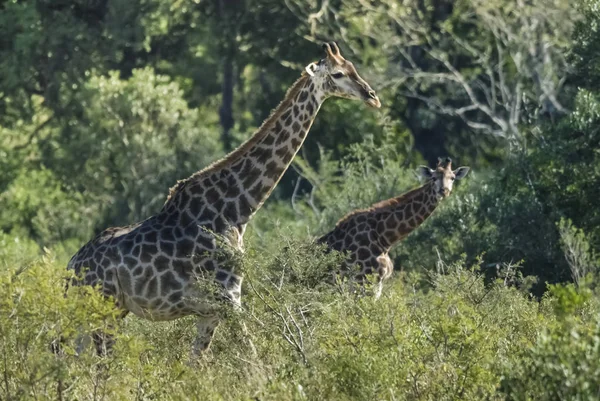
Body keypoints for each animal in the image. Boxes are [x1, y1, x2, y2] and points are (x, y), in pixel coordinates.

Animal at [65, 41, 380, 354]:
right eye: (338, 74)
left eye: (353, 66)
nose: (372, 97)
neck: (238, 209)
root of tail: (71, 266)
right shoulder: (228, 298)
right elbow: (253, 357)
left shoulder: (210, 311)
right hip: (106, 308)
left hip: (93, 314)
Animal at [318, 158, 468, 298]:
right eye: (433, 177)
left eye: (452, 178)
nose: (444, 191)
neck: (384, 238)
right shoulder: (362, 280)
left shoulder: (376, 283)